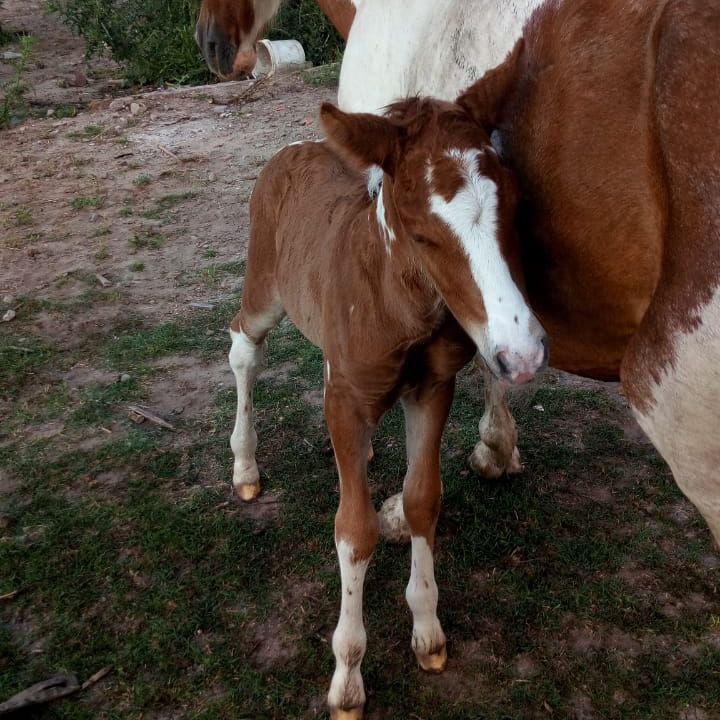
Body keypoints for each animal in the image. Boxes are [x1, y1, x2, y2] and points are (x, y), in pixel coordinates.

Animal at [229, 98, 544, 716]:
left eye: (517, 206)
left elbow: (422, 500)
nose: (522, 353)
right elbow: (356, 530)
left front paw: (428, 633)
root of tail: (293, 149)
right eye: (423, 235)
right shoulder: (348, 402)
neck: (396, 301)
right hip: (265, 287)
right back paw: (245, 466)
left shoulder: (432, 389)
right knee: (243, 348)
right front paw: (348, 675)